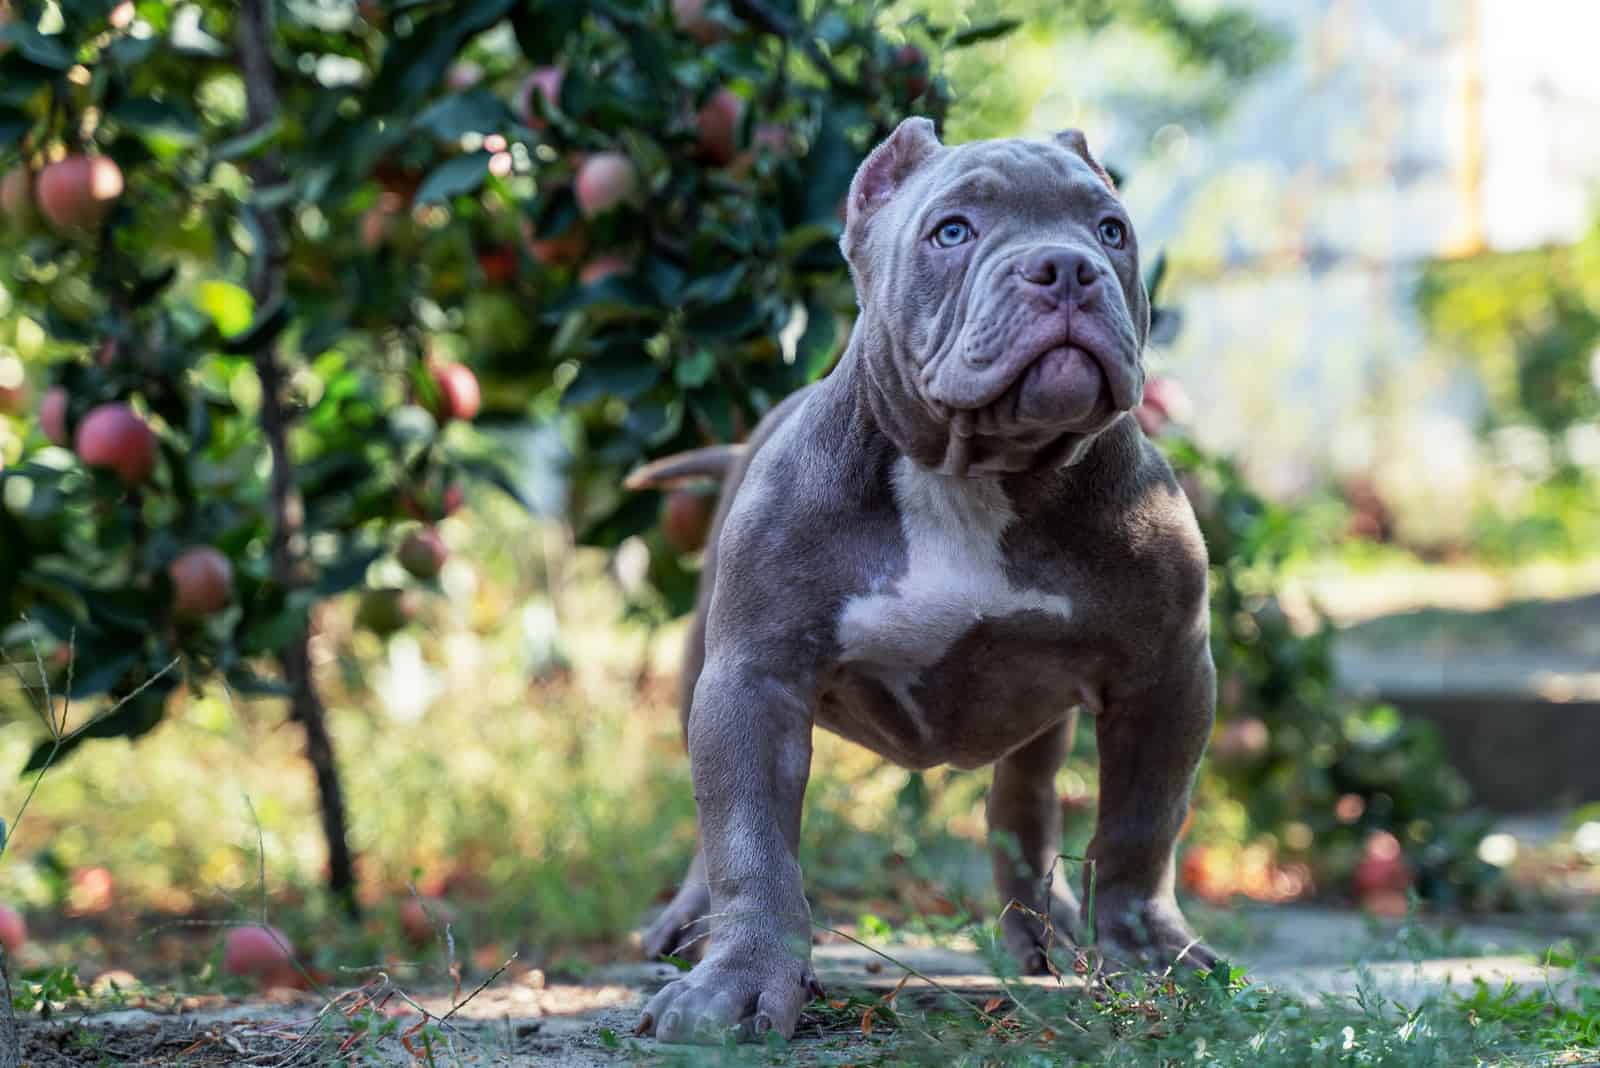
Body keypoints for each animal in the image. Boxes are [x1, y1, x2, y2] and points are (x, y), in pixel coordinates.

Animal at [630, 119, 1216, 1042]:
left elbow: (1140, 824)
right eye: (953, 231)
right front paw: (740, 981)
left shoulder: (1168, 674)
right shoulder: (754, 681)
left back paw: (1042, 935)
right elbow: (750, 841)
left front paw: (1147, 952)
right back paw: (689, 922)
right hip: (698, 665)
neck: (977, 470)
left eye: (1111, 230)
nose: (1067, 267)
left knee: (1024, 805)